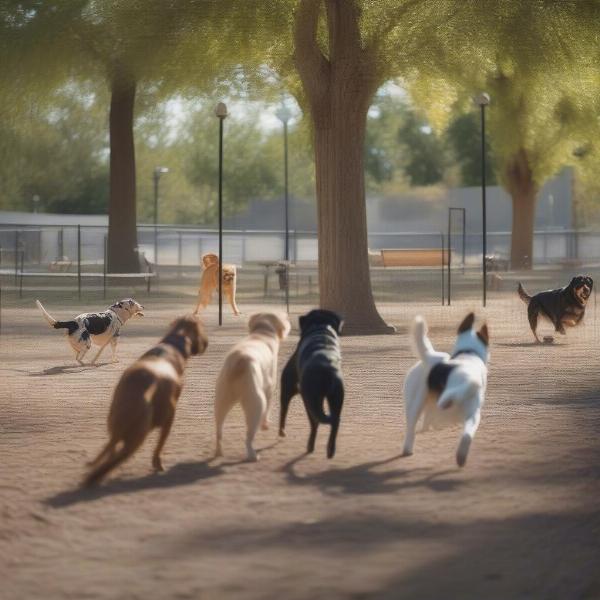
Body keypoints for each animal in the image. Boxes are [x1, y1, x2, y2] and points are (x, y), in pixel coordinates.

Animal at [83, 314, 207, 488]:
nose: (206, 344)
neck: (173, 344)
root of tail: (145, 388)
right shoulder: (168, 420)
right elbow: (159, 447)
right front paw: (158, 464)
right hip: (142, 434)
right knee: (117, 458)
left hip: (116, 423)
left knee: (111, 449)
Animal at [216, 312, 290, 462]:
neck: (262, 331)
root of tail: (239, 362)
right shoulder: (270, 387)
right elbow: (269, 405)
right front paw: (266, 426)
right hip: (256, 402)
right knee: (249, 436)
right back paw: (252, 455)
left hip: (221, 397)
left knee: (218, 430)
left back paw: (218, 452)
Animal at [280, 310, 344, 460]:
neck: (321, 327)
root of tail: (326, 368)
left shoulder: (288, 385)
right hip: (336, 396)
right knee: (335, 421)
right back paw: (330, 450)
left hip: (309, 399)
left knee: (314, 422)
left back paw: (309, 445)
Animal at [400, 314, 490, 468]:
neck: (468, 353)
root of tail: (432, 357)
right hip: (418, 404)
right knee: (412, 429)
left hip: (420, 403)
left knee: (420, 424)